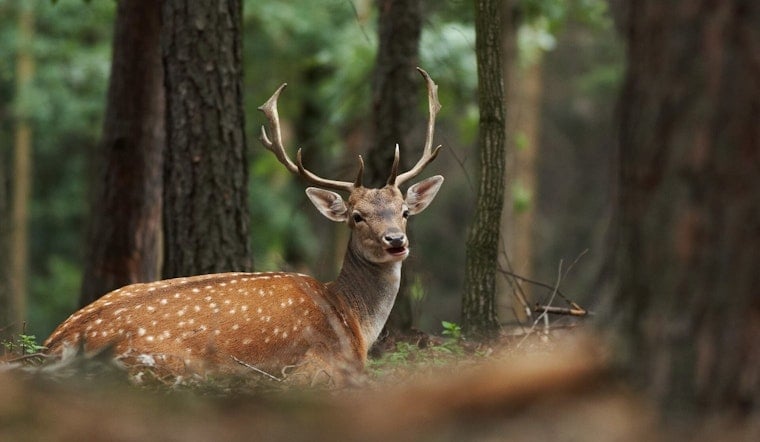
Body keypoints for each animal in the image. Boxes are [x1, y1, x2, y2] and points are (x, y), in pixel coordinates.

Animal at [43, 68, 444, 385]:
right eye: (357, 216)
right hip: (165, 363)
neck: (354, 322)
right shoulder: (321, 363)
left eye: (404, 212)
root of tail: (54, 344)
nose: (396, 241)